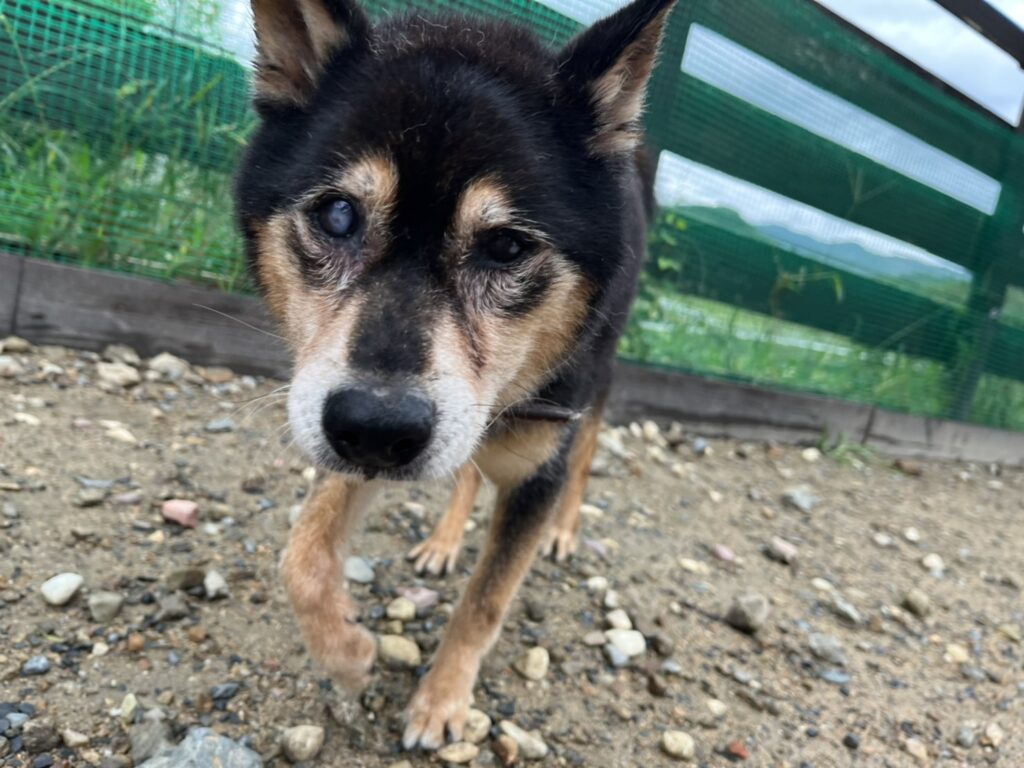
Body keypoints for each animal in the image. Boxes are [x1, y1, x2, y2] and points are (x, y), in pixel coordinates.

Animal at [235, 0, 676, 751]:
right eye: (338, 214)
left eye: (507, 247)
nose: (376, 429)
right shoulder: (340, 408)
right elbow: (301, 556)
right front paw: (349, 655)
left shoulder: (536, 464)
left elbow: (486, 600)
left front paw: (441, 701)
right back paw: (443, 540)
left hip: (596, 382)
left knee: (585, 453)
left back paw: (563, 531)